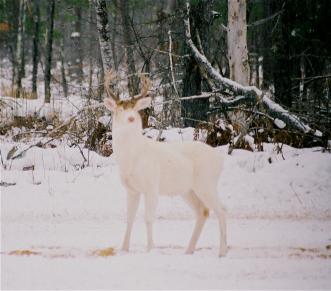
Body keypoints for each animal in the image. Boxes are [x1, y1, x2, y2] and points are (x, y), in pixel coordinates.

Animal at [104, 72, 228, 256]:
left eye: (135, 109)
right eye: (120, 110)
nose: (131, 118)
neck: (132, 158)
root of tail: (220, 159)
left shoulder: (152, 185)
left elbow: (148, 218)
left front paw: (151, 249)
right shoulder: (132, 189)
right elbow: (130, 218)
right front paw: (124, 249)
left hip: (206, 183)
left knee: (221, 210)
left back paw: (222, 252)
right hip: (188, 190)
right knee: (203, 211)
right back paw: (188, 250)